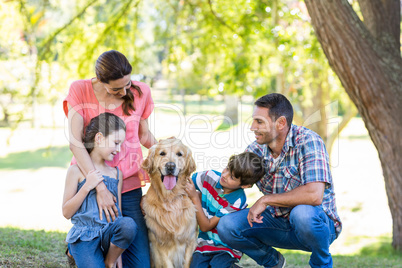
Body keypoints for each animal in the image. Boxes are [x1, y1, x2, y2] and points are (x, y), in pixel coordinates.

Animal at [142, 138, 197, 268]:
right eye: (162, 153)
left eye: (179, 154)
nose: (170, 166)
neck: (170, 198)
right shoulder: (159, 245)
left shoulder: (190, 240)